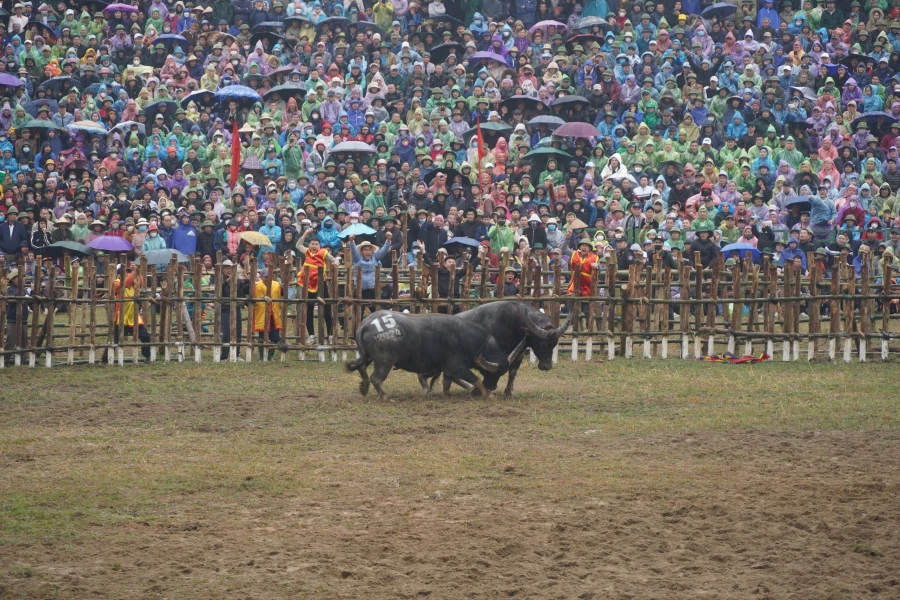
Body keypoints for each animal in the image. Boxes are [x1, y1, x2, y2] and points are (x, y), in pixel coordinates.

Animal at [344, 310, 516, 398]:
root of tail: (366, 324)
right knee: (376, 378)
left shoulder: (442, 368)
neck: (467, 338)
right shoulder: (457, 367)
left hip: (367, 356)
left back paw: (364, 388)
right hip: (384, 361)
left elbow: (442, 382)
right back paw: (386, 396)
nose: (493, 386)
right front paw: (488, 395)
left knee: (362, 369)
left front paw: (439, 394)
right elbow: (475, 379)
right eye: (492, 373)